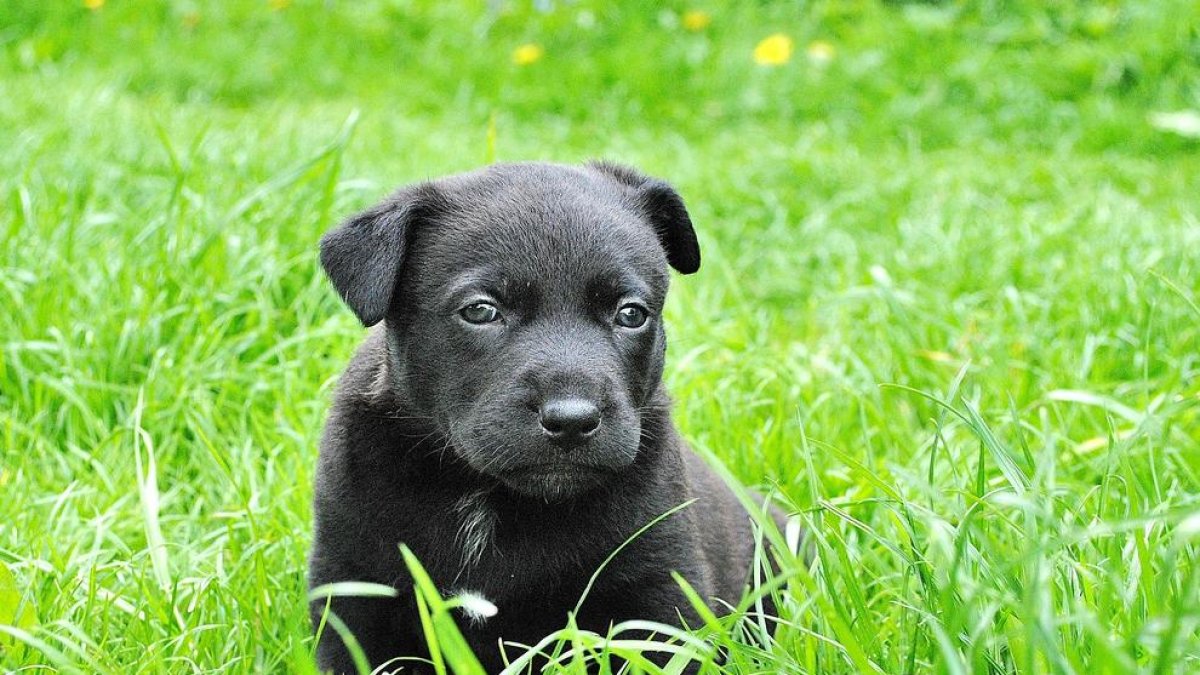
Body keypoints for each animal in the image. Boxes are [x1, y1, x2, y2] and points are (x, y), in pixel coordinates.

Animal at [307, 159, 787, 667]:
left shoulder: (658, 588)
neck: (485, 495)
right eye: (480, 310)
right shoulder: (353, 588)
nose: (573, 420)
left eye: (631, 314)